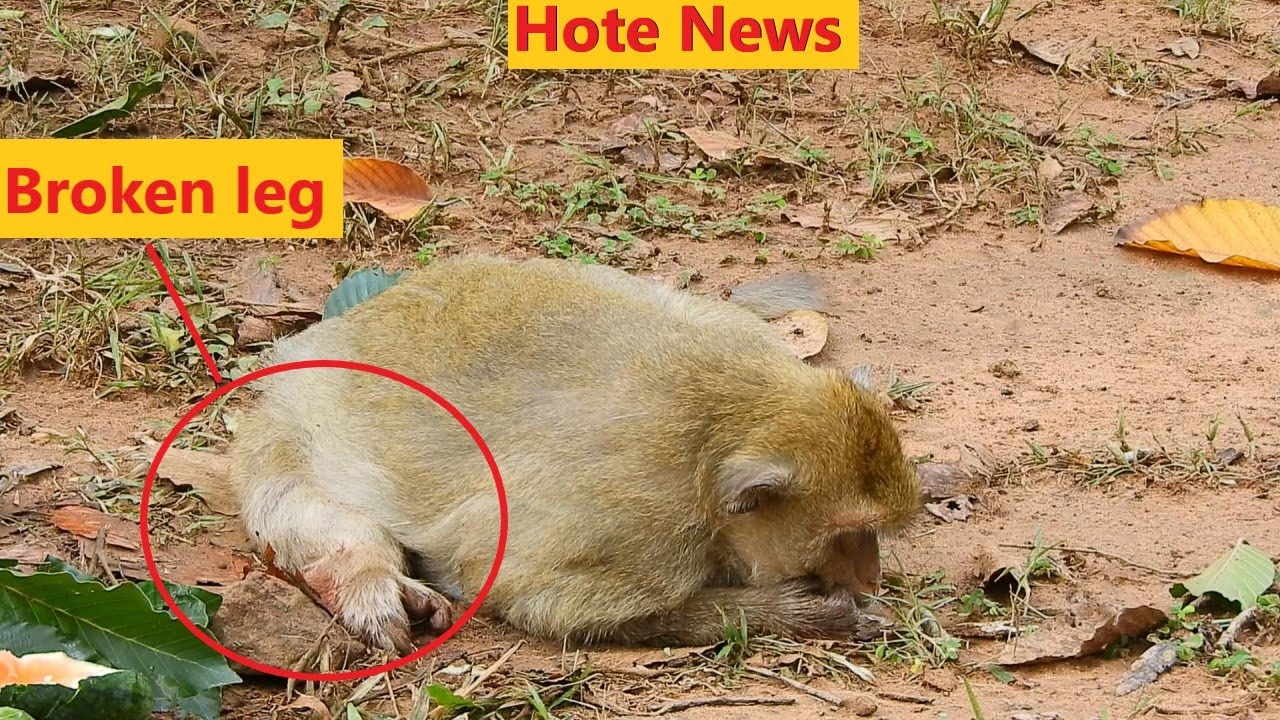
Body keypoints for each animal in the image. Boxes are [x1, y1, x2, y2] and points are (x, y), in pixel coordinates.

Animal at [228, 255, 922, 653]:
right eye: (848, 536)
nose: (871, 577)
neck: (724, 419)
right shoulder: (643, 529)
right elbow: (536, 598)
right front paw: (804, 614)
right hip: (286, 419)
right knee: (294, 496)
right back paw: (364, 577)